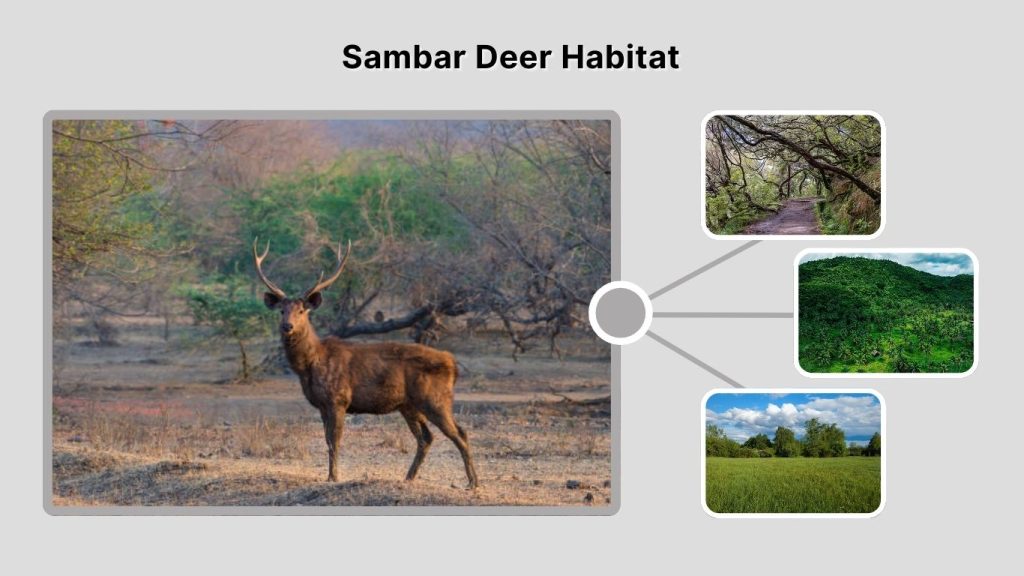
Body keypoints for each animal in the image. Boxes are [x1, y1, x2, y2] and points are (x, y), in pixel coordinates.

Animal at [253, 238, 479, 488]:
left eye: (302, 310)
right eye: (281, 311)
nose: (287, 326)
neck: (309, 365)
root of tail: (453, 365)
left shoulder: (338, 399)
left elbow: (334, 440)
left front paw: (333, 477)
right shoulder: (322, 404)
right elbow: (327, 440)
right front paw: (330, 475)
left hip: (435, 399)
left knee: (460, 433)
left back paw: (473, 482)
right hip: (409, 405)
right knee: (427, 438)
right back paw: (408, 477)